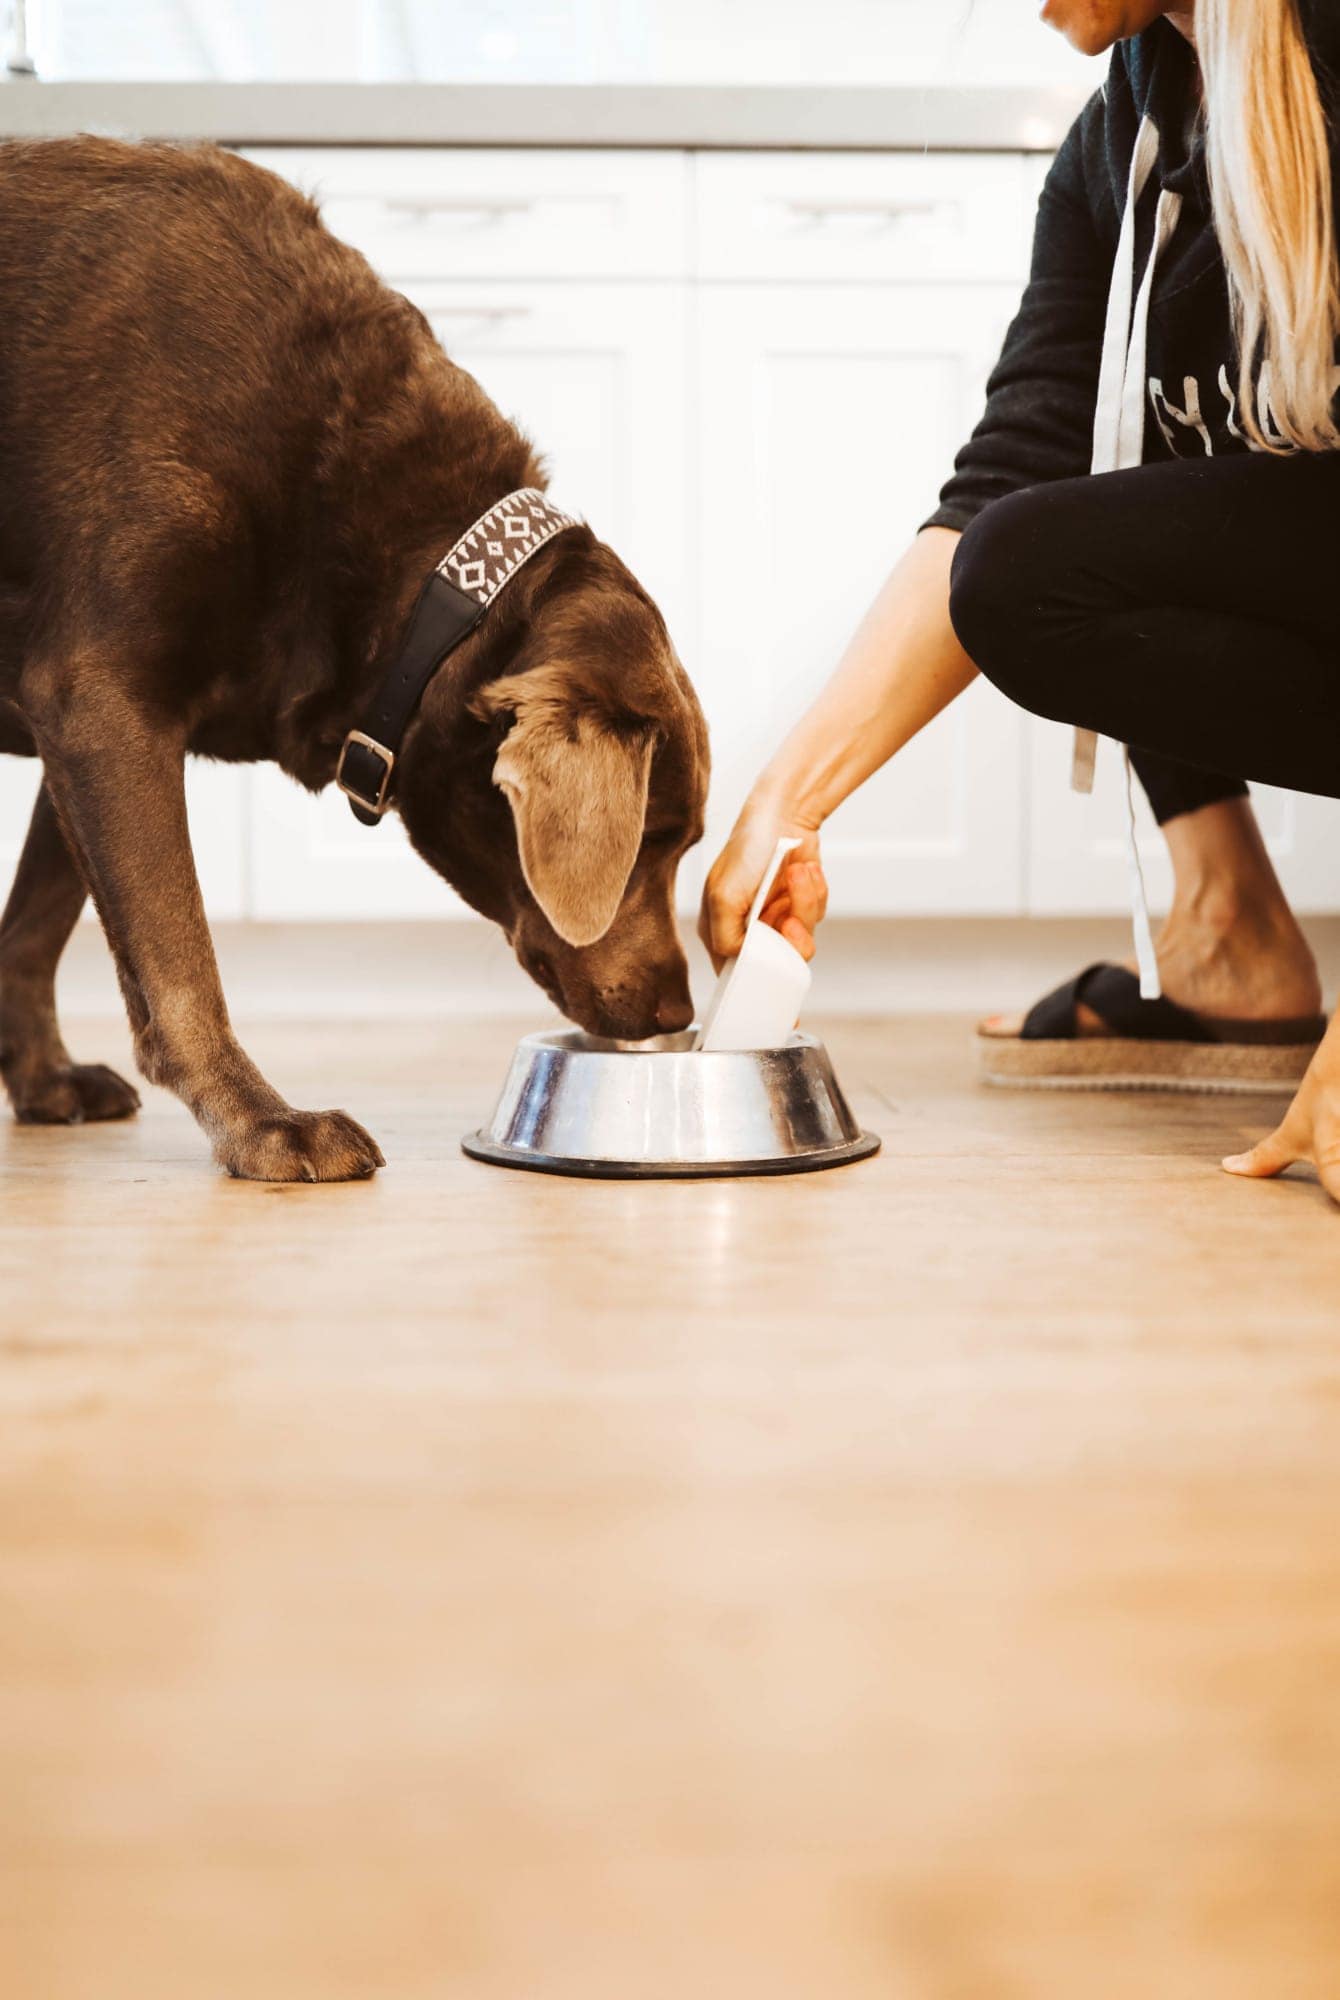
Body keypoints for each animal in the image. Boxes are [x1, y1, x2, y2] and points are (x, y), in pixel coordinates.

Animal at [0, 141, 712, 1176]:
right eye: (654, 840)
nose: (678, 1013)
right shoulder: (102, 701)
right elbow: (178, 954)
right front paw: (263, 1123)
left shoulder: (78, 723)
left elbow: (35, 925)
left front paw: (43, 1078)